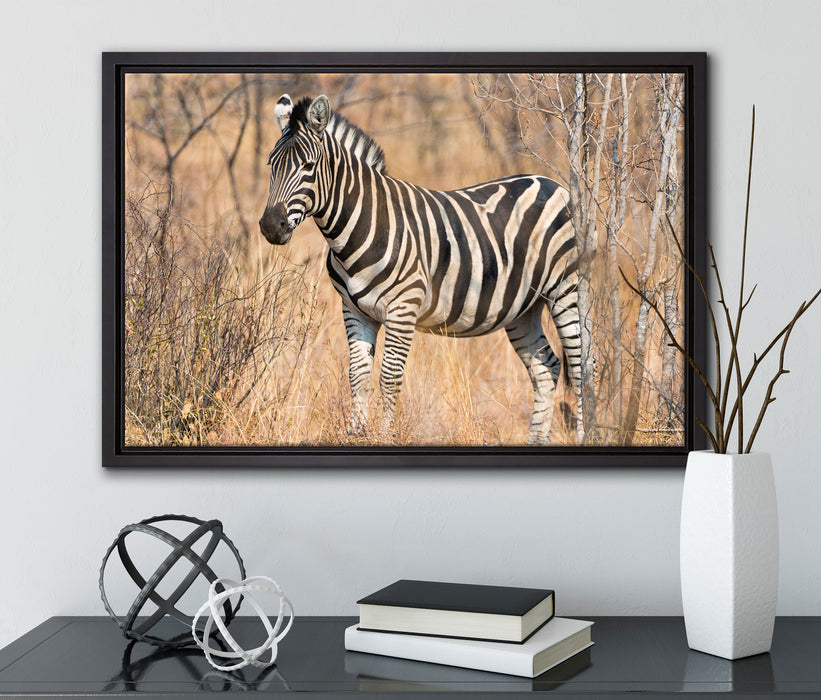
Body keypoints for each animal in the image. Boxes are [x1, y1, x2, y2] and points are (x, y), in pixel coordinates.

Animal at [259, 94, 584, 445]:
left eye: (308, 166)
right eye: (271, 165)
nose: (271, 226)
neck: (360, 226)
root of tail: (550, 183)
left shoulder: (403, 309)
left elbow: (389, 378)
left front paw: (385, 438)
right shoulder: (354, 310)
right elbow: (358, 375)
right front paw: (356, 435)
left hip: (566, 290)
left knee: (580, 365)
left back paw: (585, 435)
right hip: (523, 307)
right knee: (546, 368)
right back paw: (536, 440)